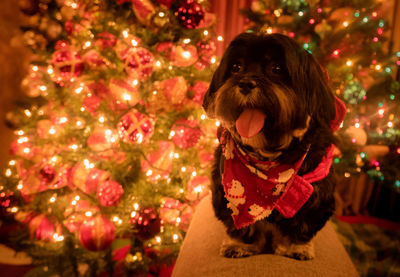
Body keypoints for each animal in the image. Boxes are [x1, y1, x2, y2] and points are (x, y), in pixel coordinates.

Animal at [202, 32, 346, 258]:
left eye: (276, 68)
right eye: (236, 67)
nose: (245, 83)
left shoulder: (315, 191)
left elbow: (300, 222)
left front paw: (296, 246)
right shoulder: (223, 187)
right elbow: (241, 226)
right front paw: (241, 244)